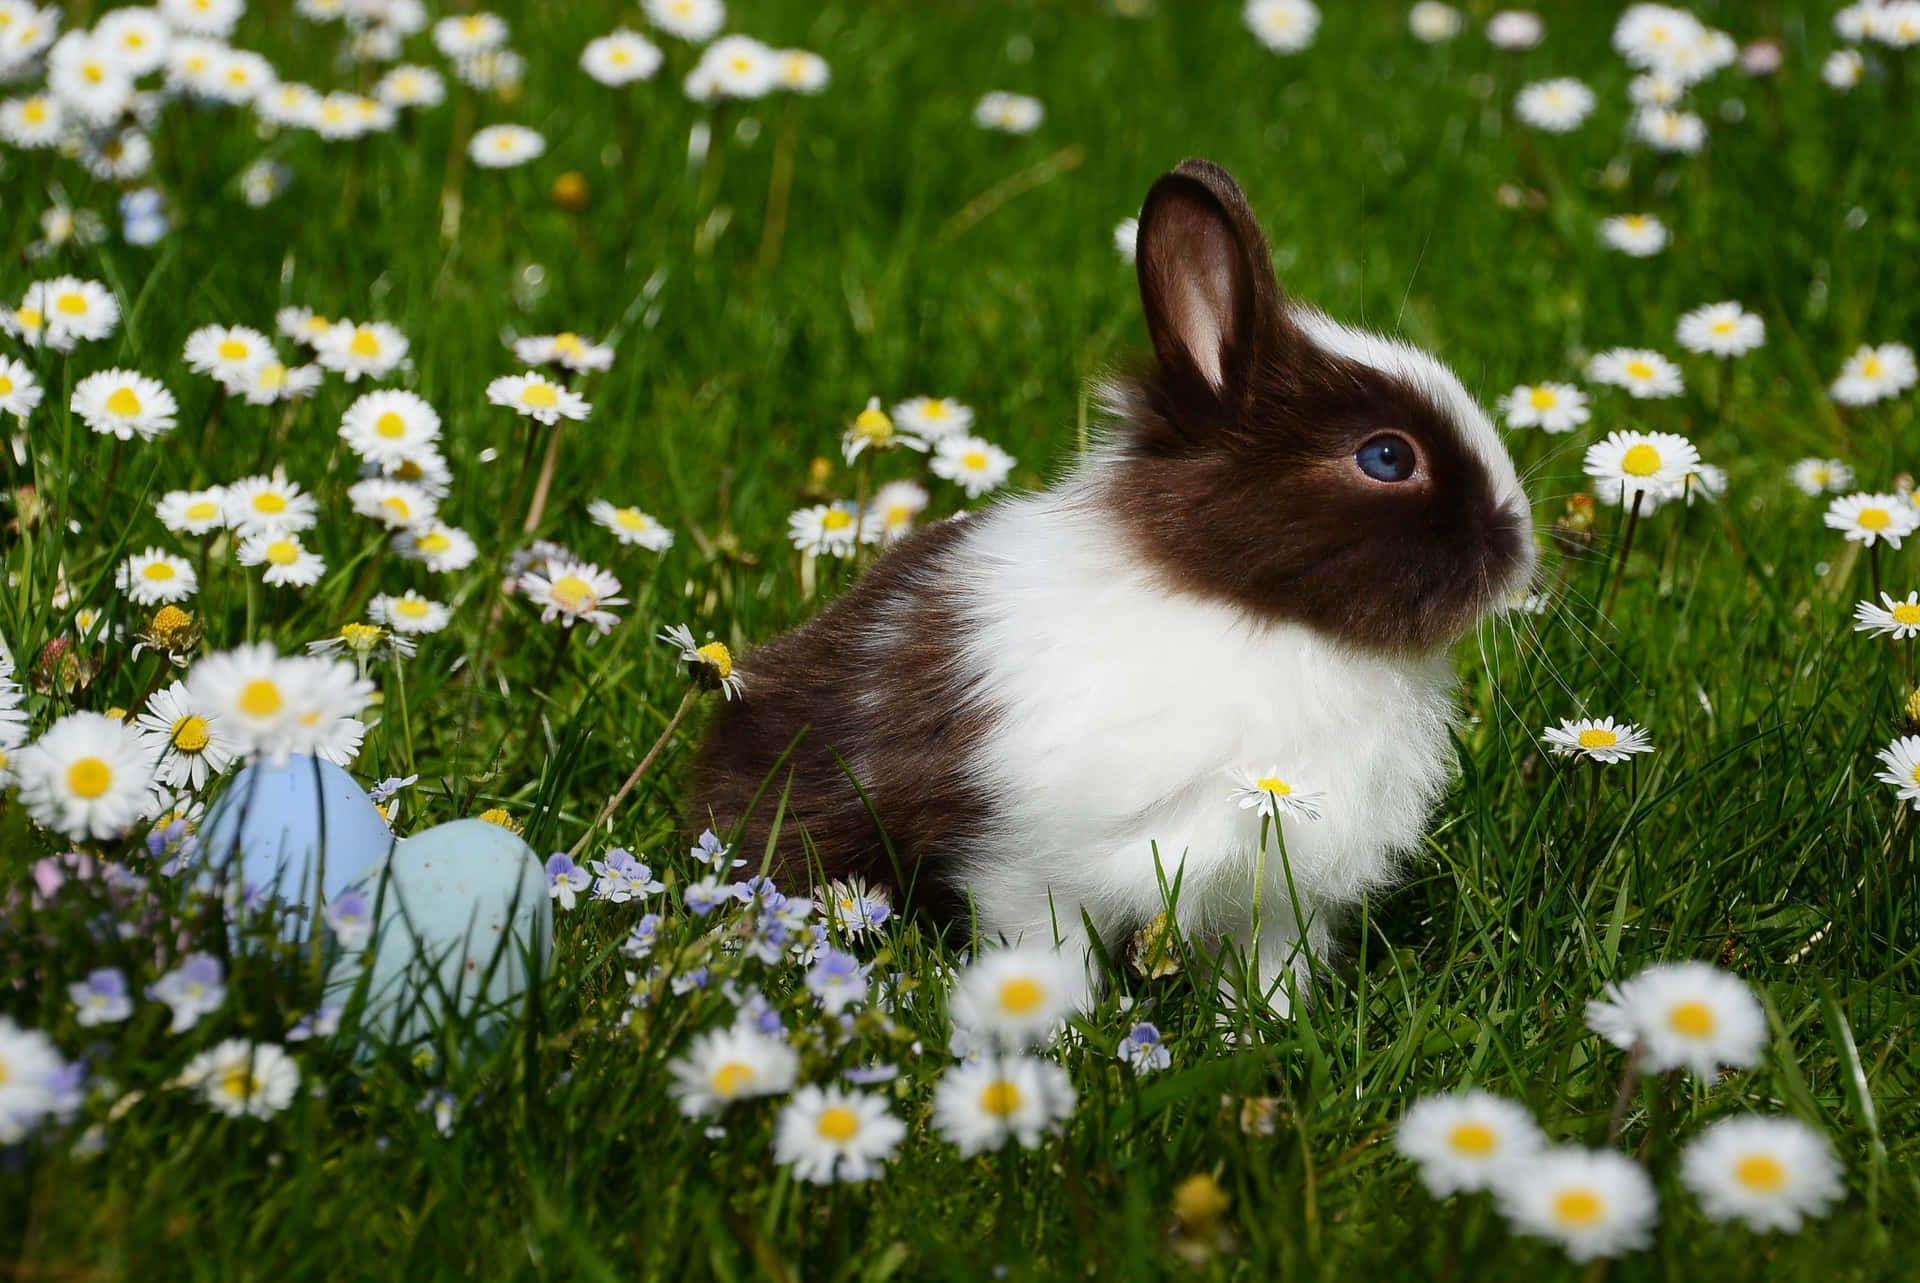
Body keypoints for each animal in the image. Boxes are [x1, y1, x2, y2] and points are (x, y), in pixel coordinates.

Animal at [687, 155, 1528, 1006]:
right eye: (1387, 457)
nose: (1520, 549)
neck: (1256, 615)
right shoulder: (1032, 866)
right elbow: (1045, 954)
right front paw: (1051, 1024)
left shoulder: (1278, 895)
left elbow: (1264, 970)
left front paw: (1263, 1025)